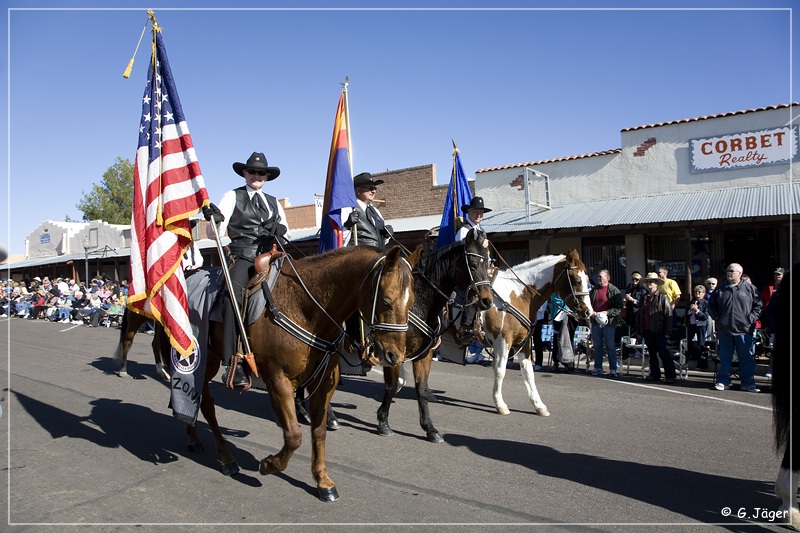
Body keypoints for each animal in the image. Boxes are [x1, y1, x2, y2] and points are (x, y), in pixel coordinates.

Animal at [376, 231, 494, 442]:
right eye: (472, 264)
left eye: (487, 262)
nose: (487, 301)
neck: (417, 304)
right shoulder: (393, 353)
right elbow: (391, 386)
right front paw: (383, 423)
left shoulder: (425, 354)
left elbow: (421, 389)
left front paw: (430, 428)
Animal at [478, 249, 592, 416]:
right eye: (577, 280)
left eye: (587, 279)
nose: (588, 312)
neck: (519, 295)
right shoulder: (503, 340)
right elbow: (500, 370)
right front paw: (500, 404)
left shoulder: (523, 342)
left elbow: (528, 372)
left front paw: (539, 405)